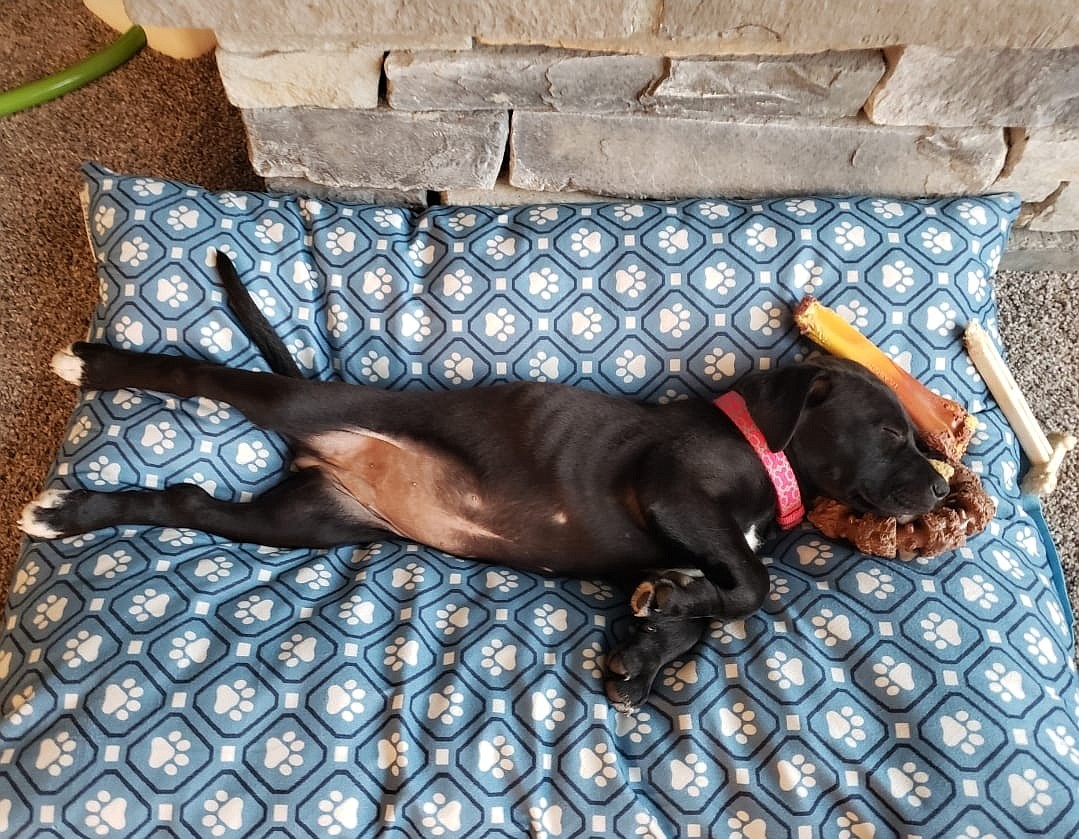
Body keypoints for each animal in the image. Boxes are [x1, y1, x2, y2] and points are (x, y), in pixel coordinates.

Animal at [21, 251, 949, 707]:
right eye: (888, 430)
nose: (942, 490)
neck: (764, 446)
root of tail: (331, 448)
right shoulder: (673, 490)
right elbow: (752, 585)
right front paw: (674, 615)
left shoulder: (682, 544)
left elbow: (706, 608)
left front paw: (646, 647)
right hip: (301, 399)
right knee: (199, 375)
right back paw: (93, 363)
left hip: (301, 521)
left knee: (182, 500)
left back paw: (72, 512)